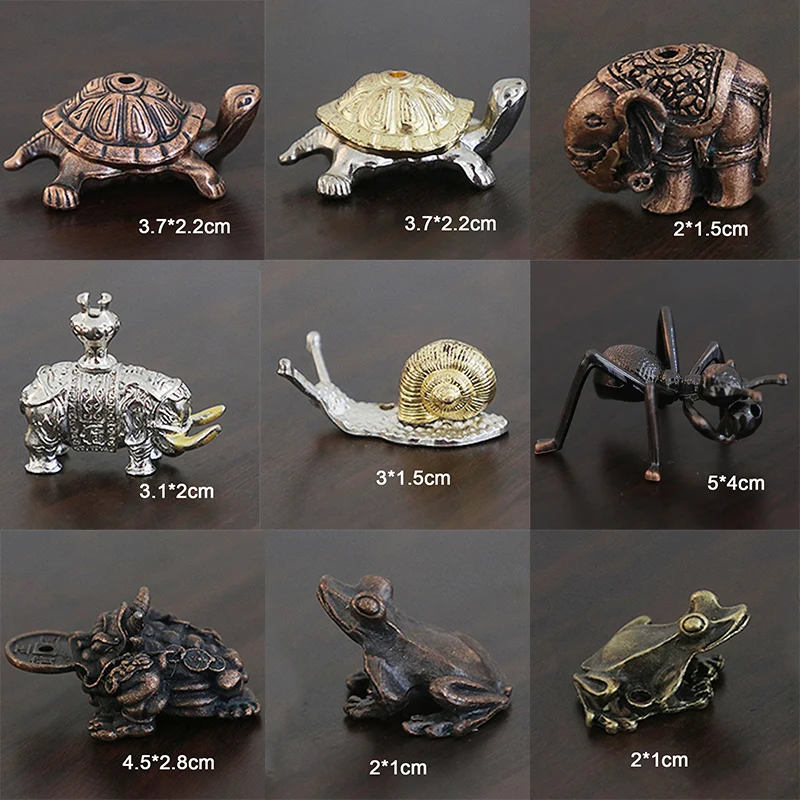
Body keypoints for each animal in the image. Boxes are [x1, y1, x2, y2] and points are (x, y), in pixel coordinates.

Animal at [21, 362, 224, 476]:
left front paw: (155, 456)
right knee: (42, 440)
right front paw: (142, 474)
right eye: (167, 418)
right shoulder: (133, 419)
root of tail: (29, 389)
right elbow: (140, 445)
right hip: (44, 410)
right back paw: (45, 470)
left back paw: (61, 451)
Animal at [564, 44, 770, 214]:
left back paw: (725, 205)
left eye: (594, 121)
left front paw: (657, 209)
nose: (639, 180)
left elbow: (673, 161)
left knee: (732, 156)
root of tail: (757, 78)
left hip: (738, 113)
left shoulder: (673, 127)